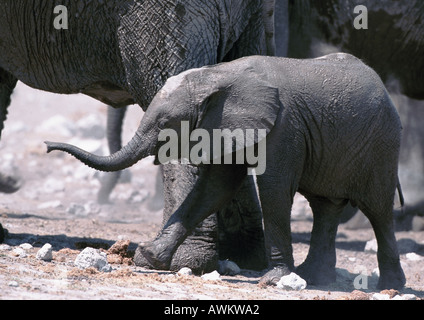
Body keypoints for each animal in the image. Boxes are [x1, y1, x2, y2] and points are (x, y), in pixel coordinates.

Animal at [45, 53, 404, 290]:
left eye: (164, 123)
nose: (47, 146)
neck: (217, 75)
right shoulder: (226, 126)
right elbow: (214, 188)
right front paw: (147, 258)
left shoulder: (284, 127)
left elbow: (273, 190)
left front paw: (273, 280)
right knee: (324, 207)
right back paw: (313, 277)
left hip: (382, 147)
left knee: (378, 211)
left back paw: (390, 286)